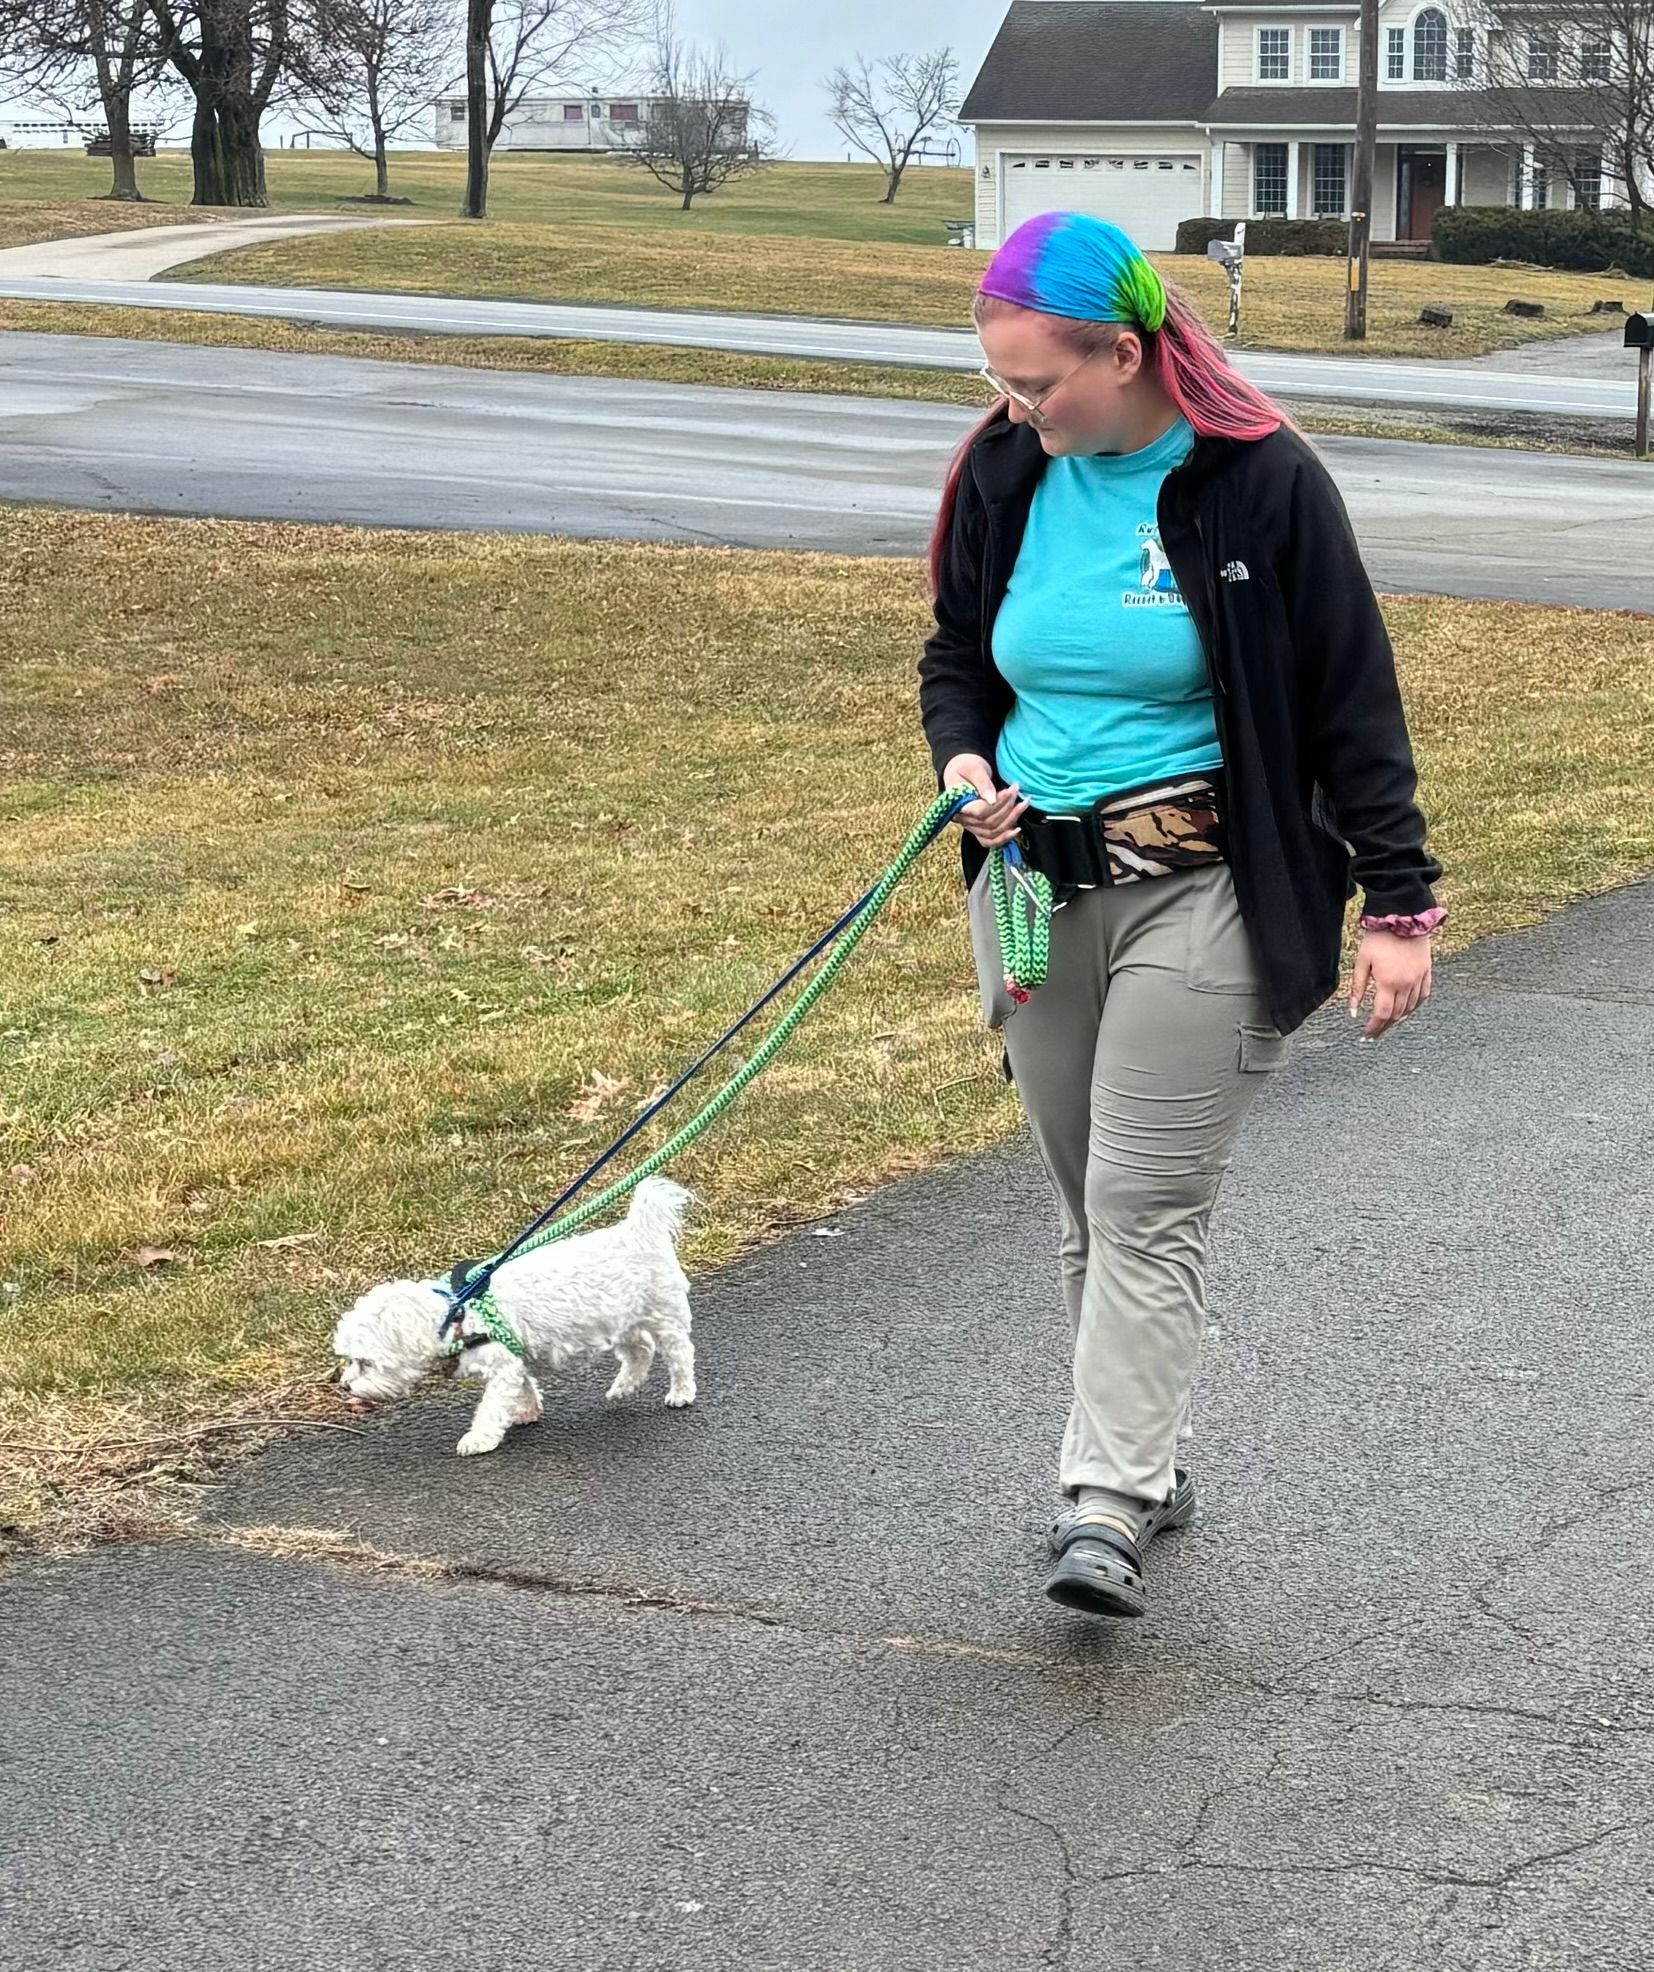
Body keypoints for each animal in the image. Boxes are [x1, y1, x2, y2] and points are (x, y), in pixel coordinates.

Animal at [333, 1175, 693, 1459]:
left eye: (365, 1362)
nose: (345, 1385)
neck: (458, 1311)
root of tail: (637, 1233)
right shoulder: (513, 1358)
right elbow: (524, 1385)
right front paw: (527, 1411)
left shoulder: (501, 1365)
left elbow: (492, 1406)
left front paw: (479, 1439)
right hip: (619, 1320)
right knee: (640, 1350)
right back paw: (623, 1387)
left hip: (662, 1314)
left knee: (679, 1354)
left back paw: (681, 1393)